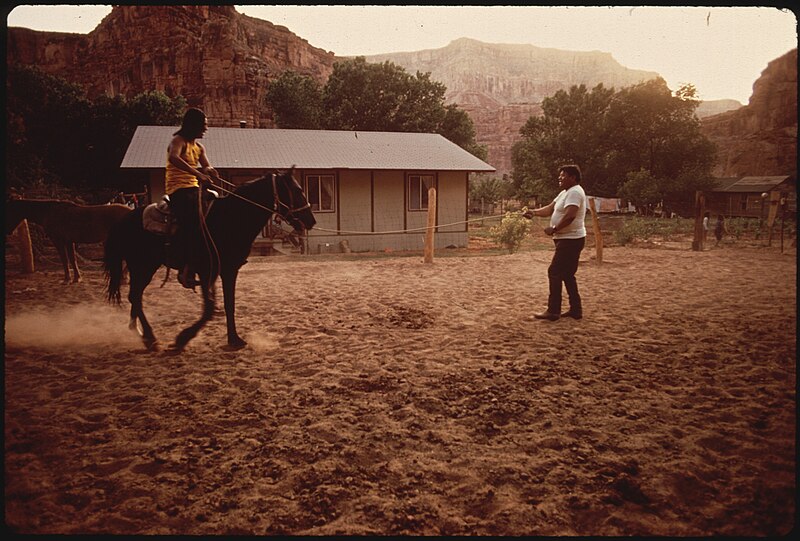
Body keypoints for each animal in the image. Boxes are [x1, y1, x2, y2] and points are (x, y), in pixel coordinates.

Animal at [104, 171, 318, 352]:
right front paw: (183, 338)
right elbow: (209, 309)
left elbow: (227, 304)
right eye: (297, 190)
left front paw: (234, 338)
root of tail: (125, 219)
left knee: (135, 297)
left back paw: (139, 332)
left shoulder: (227, 270)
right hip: (143, 266)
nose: (311, 220)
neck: (230, 219)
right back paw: (149, 337)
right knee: (135, 296)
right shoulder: (207, 271)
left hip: (142, 268)